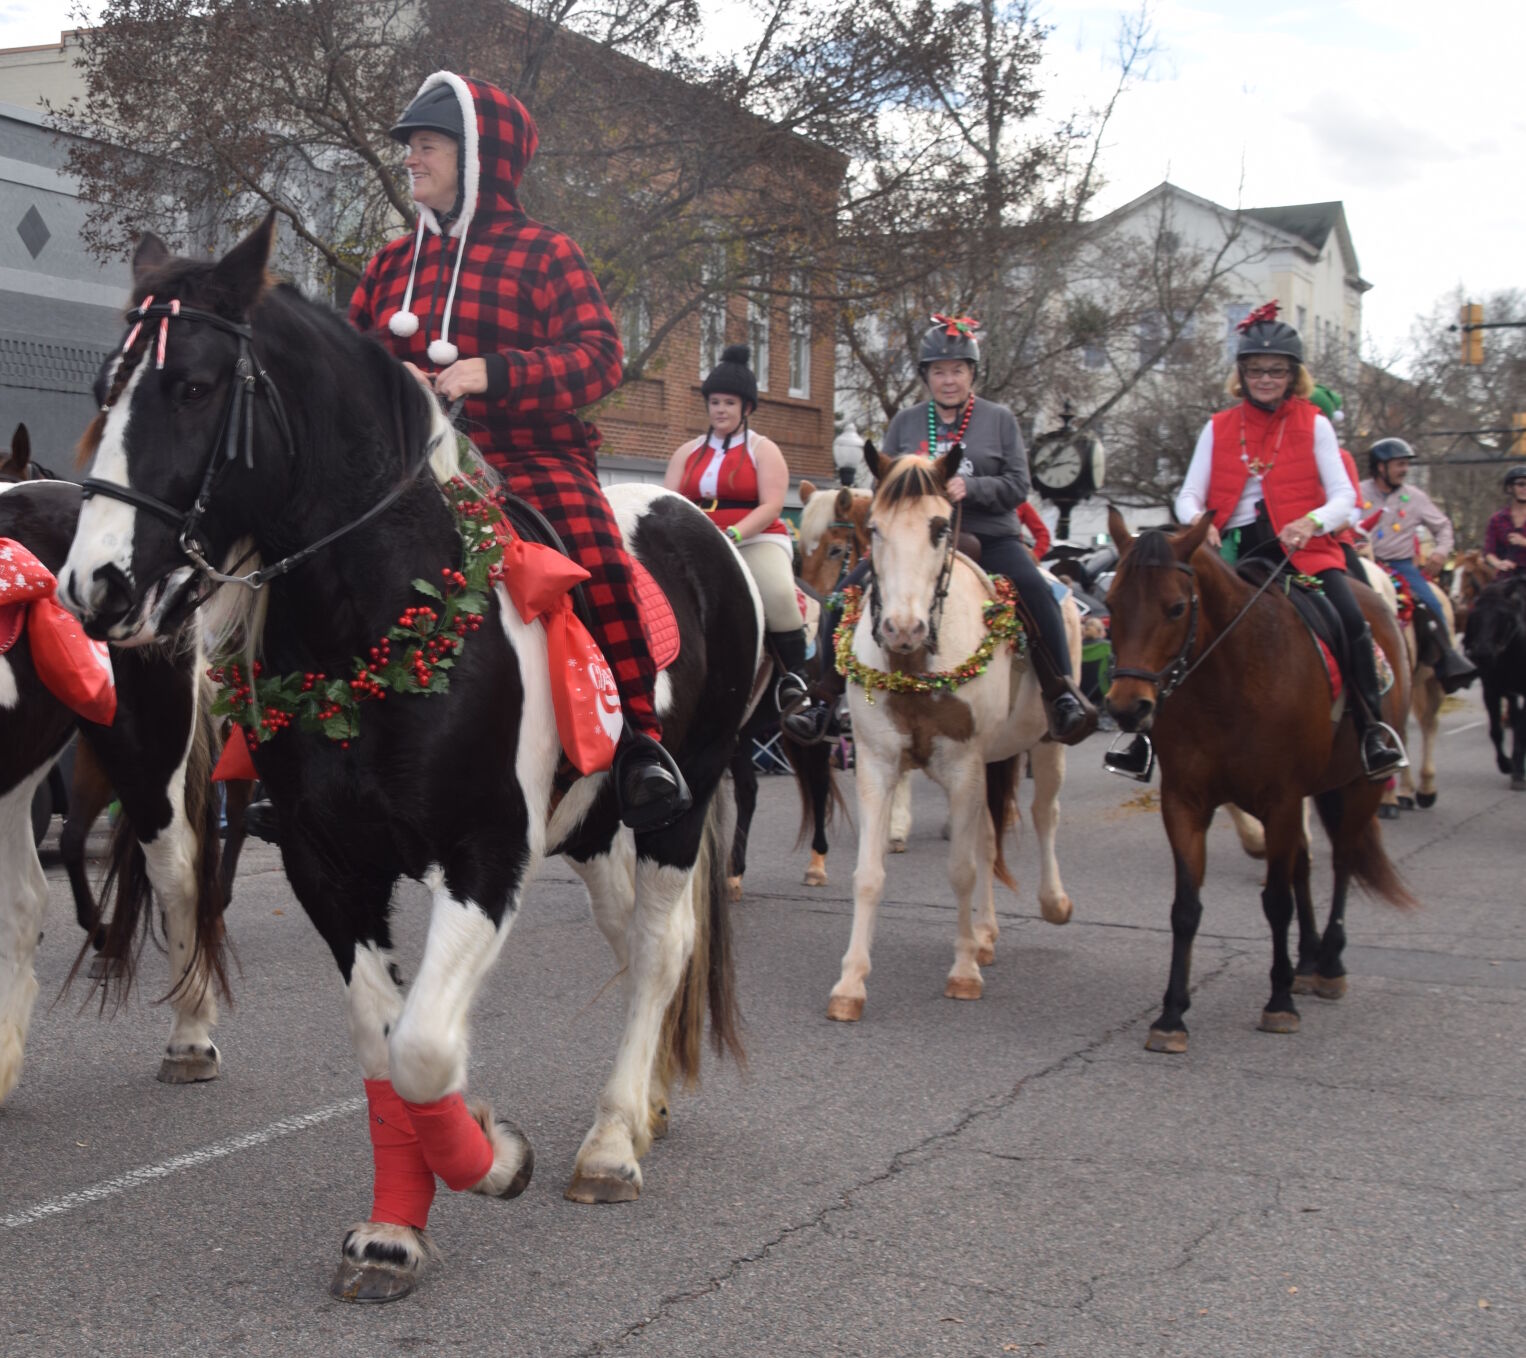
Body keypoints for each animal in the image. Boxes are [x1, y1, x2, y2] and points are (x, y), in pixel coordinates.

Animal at [57, 219, 756, 1300]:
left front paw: (492, 1156)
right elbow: (385, 1049)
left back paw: (608, 1145)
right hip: (596, 829)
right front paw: (393, 1231)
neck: (385, 615)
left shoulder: (484, 856)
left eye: (194, 385)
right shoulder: (328, 866)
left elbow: (427, 1047)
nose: (94, 585)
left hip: (679, 804)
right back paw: (642, 1105)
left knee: (656, 949)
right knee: (643, 940)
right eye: (106, 386)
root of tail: (698, 519)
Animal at [824, 439, 1074, 1019]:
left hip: (1044, 745)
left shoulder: (963, 766)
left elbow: (960, 869)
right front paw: (850, 984)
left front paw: (962, 973)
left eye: (940, 528)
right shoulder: (877, 762)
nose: (902, 628)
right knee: (989, 838)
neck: (915, 664)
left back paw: (1052, 902)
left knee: (1043, 815)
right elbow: (868, 875)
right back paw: (984, 935)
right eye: (875, 528)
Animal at [1098, 506, 1416, 1049]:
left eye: (1176, 608)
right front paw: (1171, 1015)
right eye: (1111, 604)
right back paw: (1307, 961)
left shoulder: (1281, 800)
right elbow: (1186, 908)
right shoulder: (1185, 802)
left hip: (1359, 788)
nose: (1127, 708)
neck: (1228, 679)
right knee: (1305, 868)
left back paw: (1329, 964)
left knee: (1342, 862)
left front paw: (1279, 1001)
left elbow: (1276, 902)